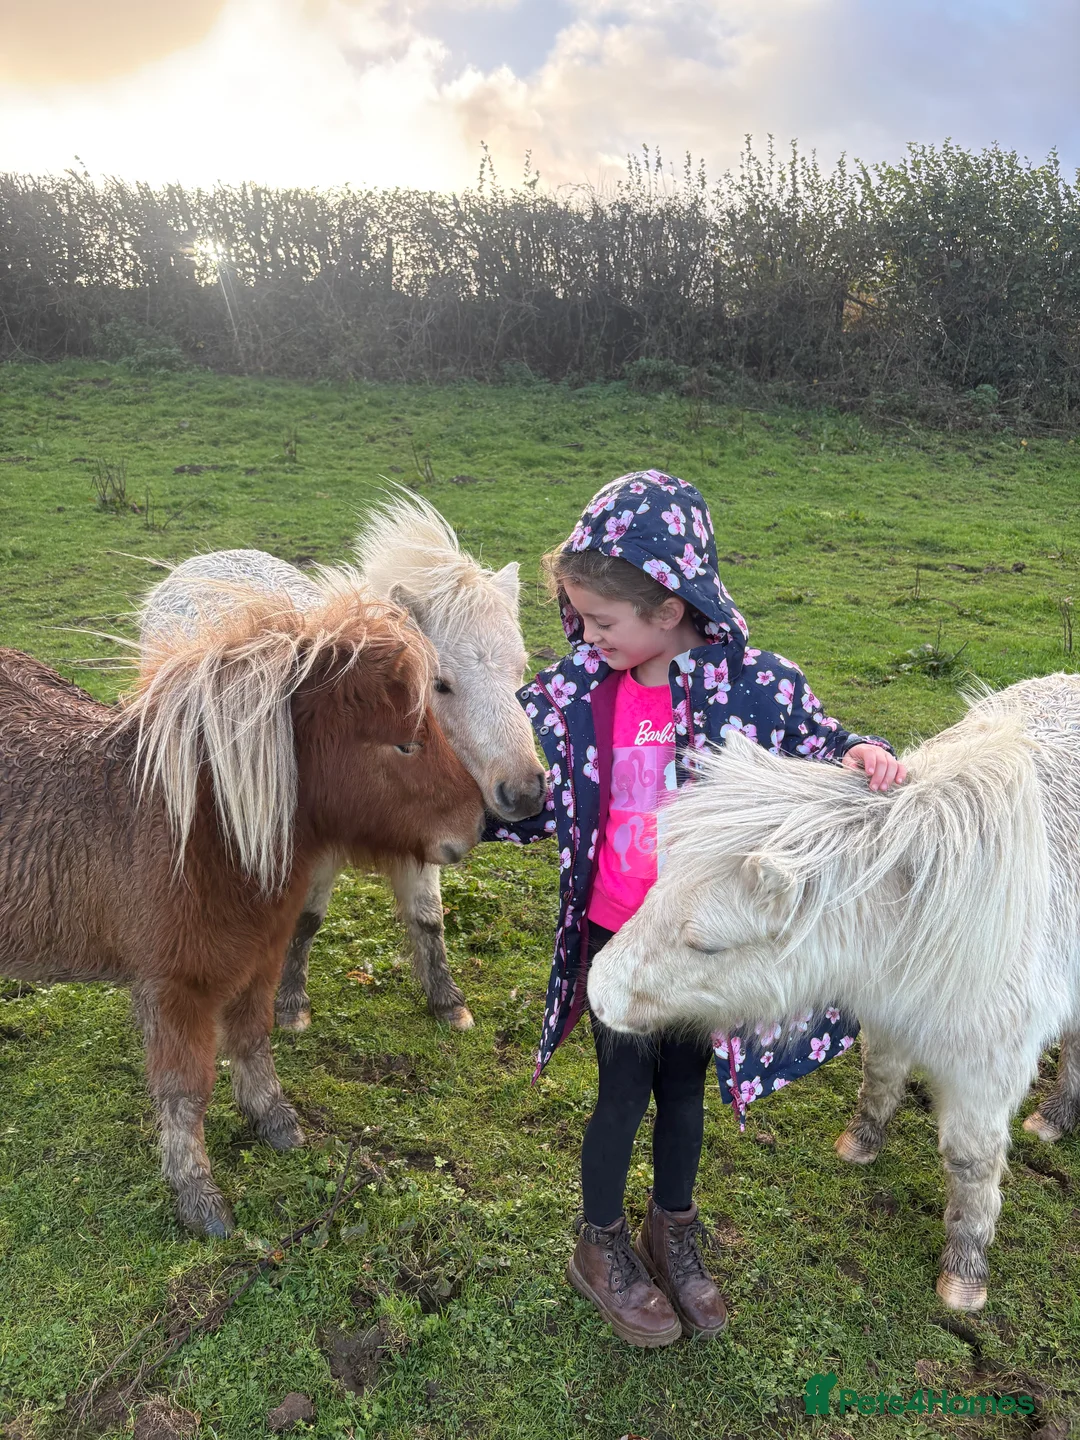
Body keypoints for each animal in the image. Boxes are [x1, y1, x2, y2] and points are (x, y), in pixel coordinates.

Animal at [0, 589, 484, 1237]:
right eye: (404, 743)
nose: (478, 822)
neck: (201, 831)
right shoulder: (173, 990)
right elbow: (185, 1092)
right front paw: (198, 1196)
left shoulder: (260, 960)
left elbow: (253, 1041)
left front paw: (275, 1122)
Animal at [139, 493, 545, 1032]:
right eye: (440, 684)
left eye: (521, 670)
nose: (525, 792)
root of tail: (196, 563)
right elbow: (306, 919)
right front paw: (290, 1005)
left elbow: (428, 916)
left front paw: (447, 1001)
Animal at [586, 675, 1080, 1312]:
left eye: (705, 946)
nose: (597, 992)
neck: (926, 909)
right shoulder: (891, 1017)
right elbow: (881, 1077)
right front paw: (861, 1143)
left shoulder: (987, 1068)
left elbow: (971, 1161)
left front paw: (965, 1271)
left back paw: (1056, 1114)